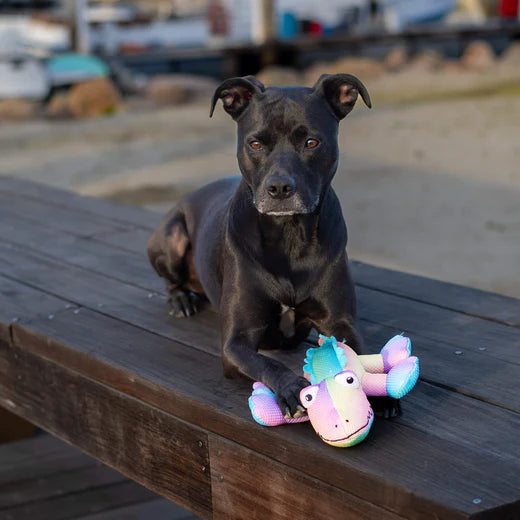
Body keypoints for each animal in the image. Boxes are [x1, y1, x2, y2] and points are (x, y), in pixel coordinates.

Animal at [148, 74, 372, 418]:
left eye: (311, 143)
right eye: (255, 144)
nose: (279, 188)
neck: (289, 235)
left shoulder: (341, 323)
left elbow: (360, 358)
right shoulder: (235, 343)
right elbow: (269, 364)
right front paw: (292, 389)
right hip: (172, 237)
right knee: (171, 278)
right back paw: (180, 300)